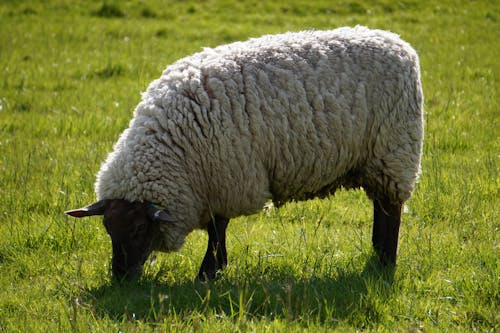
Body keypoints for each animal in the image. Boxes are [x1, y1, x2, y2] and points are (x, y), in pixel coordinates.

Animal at [64, 26, 424, 280]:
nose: (120, 278)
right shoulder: (213, 181)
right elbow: (216, 229)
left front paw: (209, 272)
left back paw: (385, 262)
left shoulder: (225, 178)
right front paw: (214, 269)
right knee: (381, 208)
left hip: (394, 150)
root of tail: (398, 43)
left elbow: (216, 228)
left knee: (390, 211)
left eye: (139, 229)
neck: (174, 146)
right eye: (107, 229)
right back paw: (377, 256)